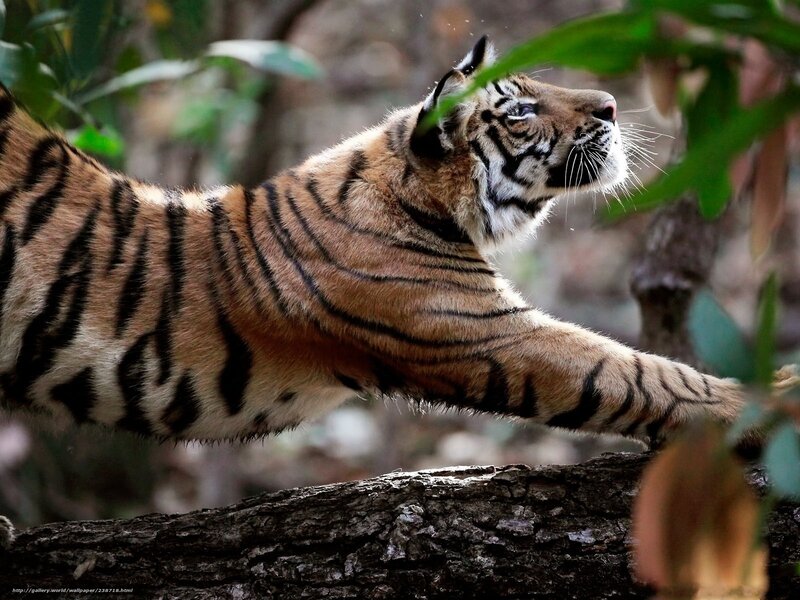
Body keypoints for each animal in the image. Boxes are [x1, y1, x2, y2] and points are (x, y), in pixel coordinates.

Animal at [0, 36, 746, 456]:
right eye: (521, 109)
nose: (612, 105)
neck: (419, 191)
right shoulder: (487, 330)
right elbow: (636, 372)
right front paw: (754, 404)